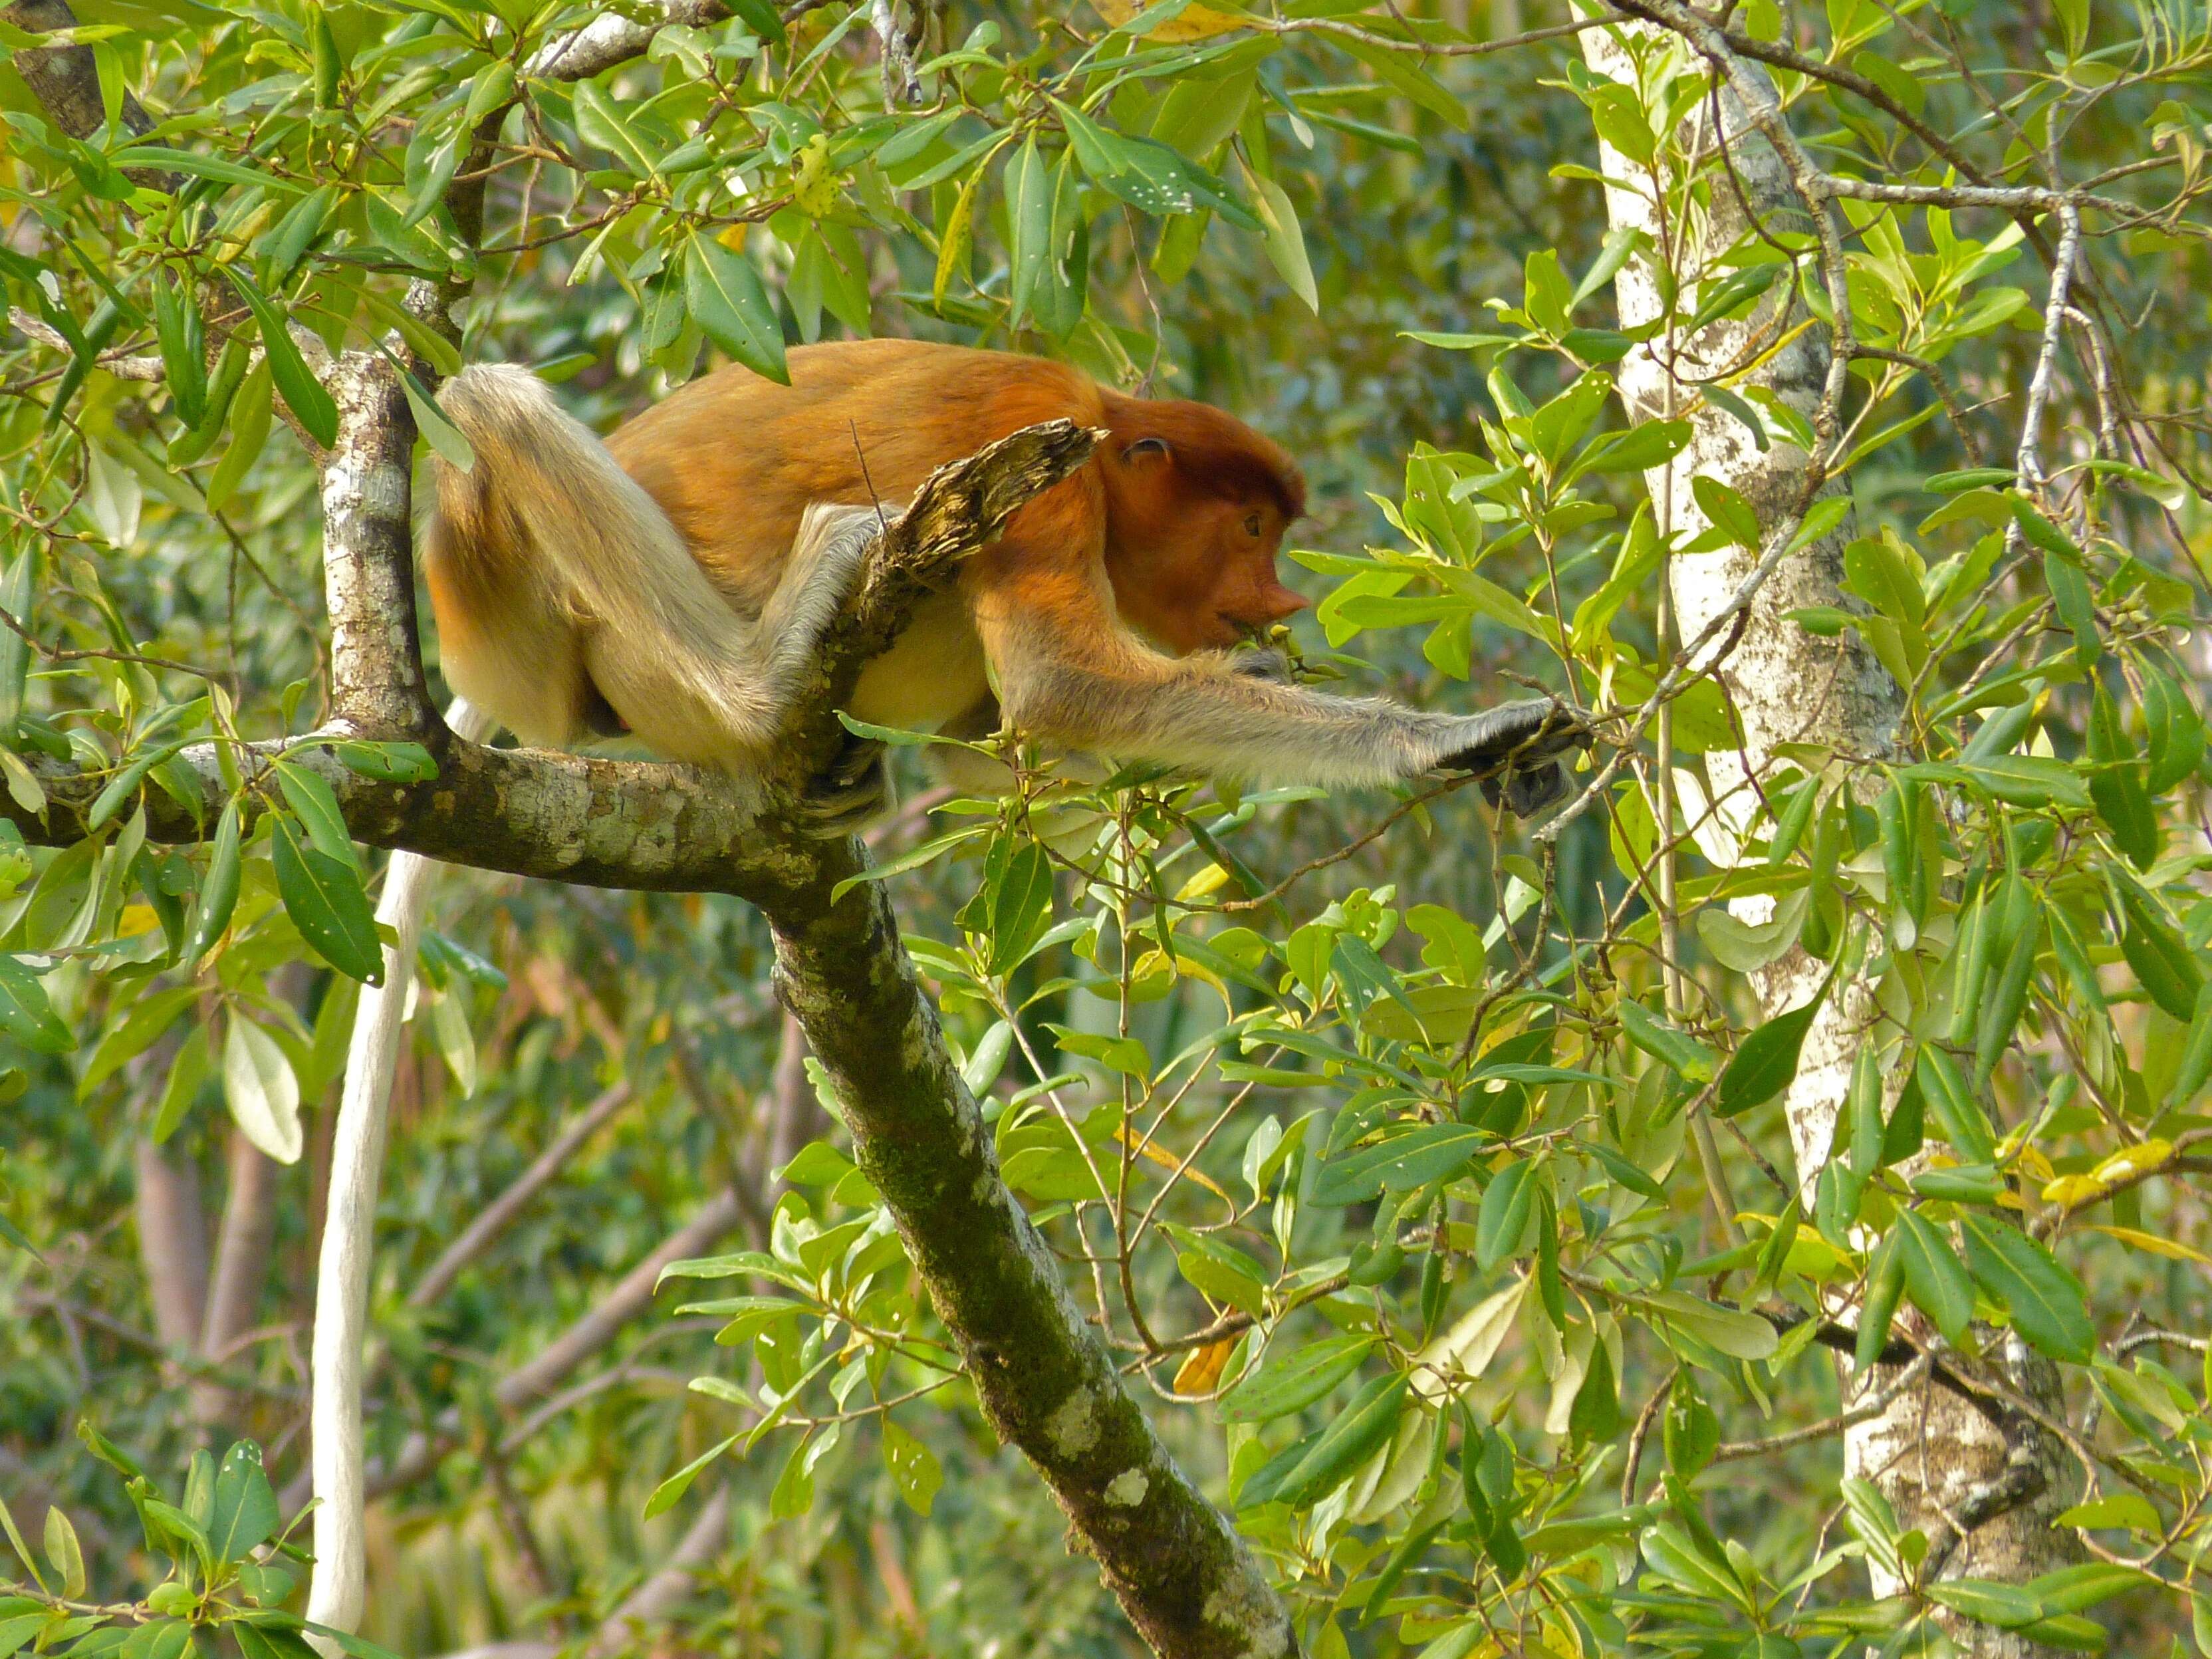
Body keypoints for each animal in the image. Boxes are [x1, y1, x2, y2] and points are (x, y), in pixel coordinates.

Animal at [418, 338, 1592, 831]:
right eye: (1252, 527)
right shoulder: (1042, 470)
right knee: (483, 395)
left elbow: (1003, 736)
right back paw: (768, 672)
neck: (1105, 425)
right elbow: (1063, 683)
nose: (1278, 603)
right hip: (536, 613)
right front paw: (1456, 737)